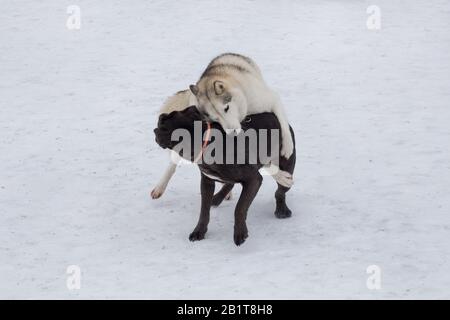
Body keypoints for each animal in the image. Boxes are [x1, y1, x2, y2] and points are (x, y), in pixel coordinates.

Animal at [154, 107, 296, 245]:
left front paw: (240, 232)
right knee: (230, 183)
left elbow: (239, 208)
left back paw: (282, 210)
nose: (161, 115)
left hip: (287, 167)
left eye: (167, 119)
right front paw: (199, 231)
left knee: (280, 192)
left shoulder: (253, 180)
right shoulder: (207, 182)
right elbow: (204, 211)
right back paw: (217, 198)